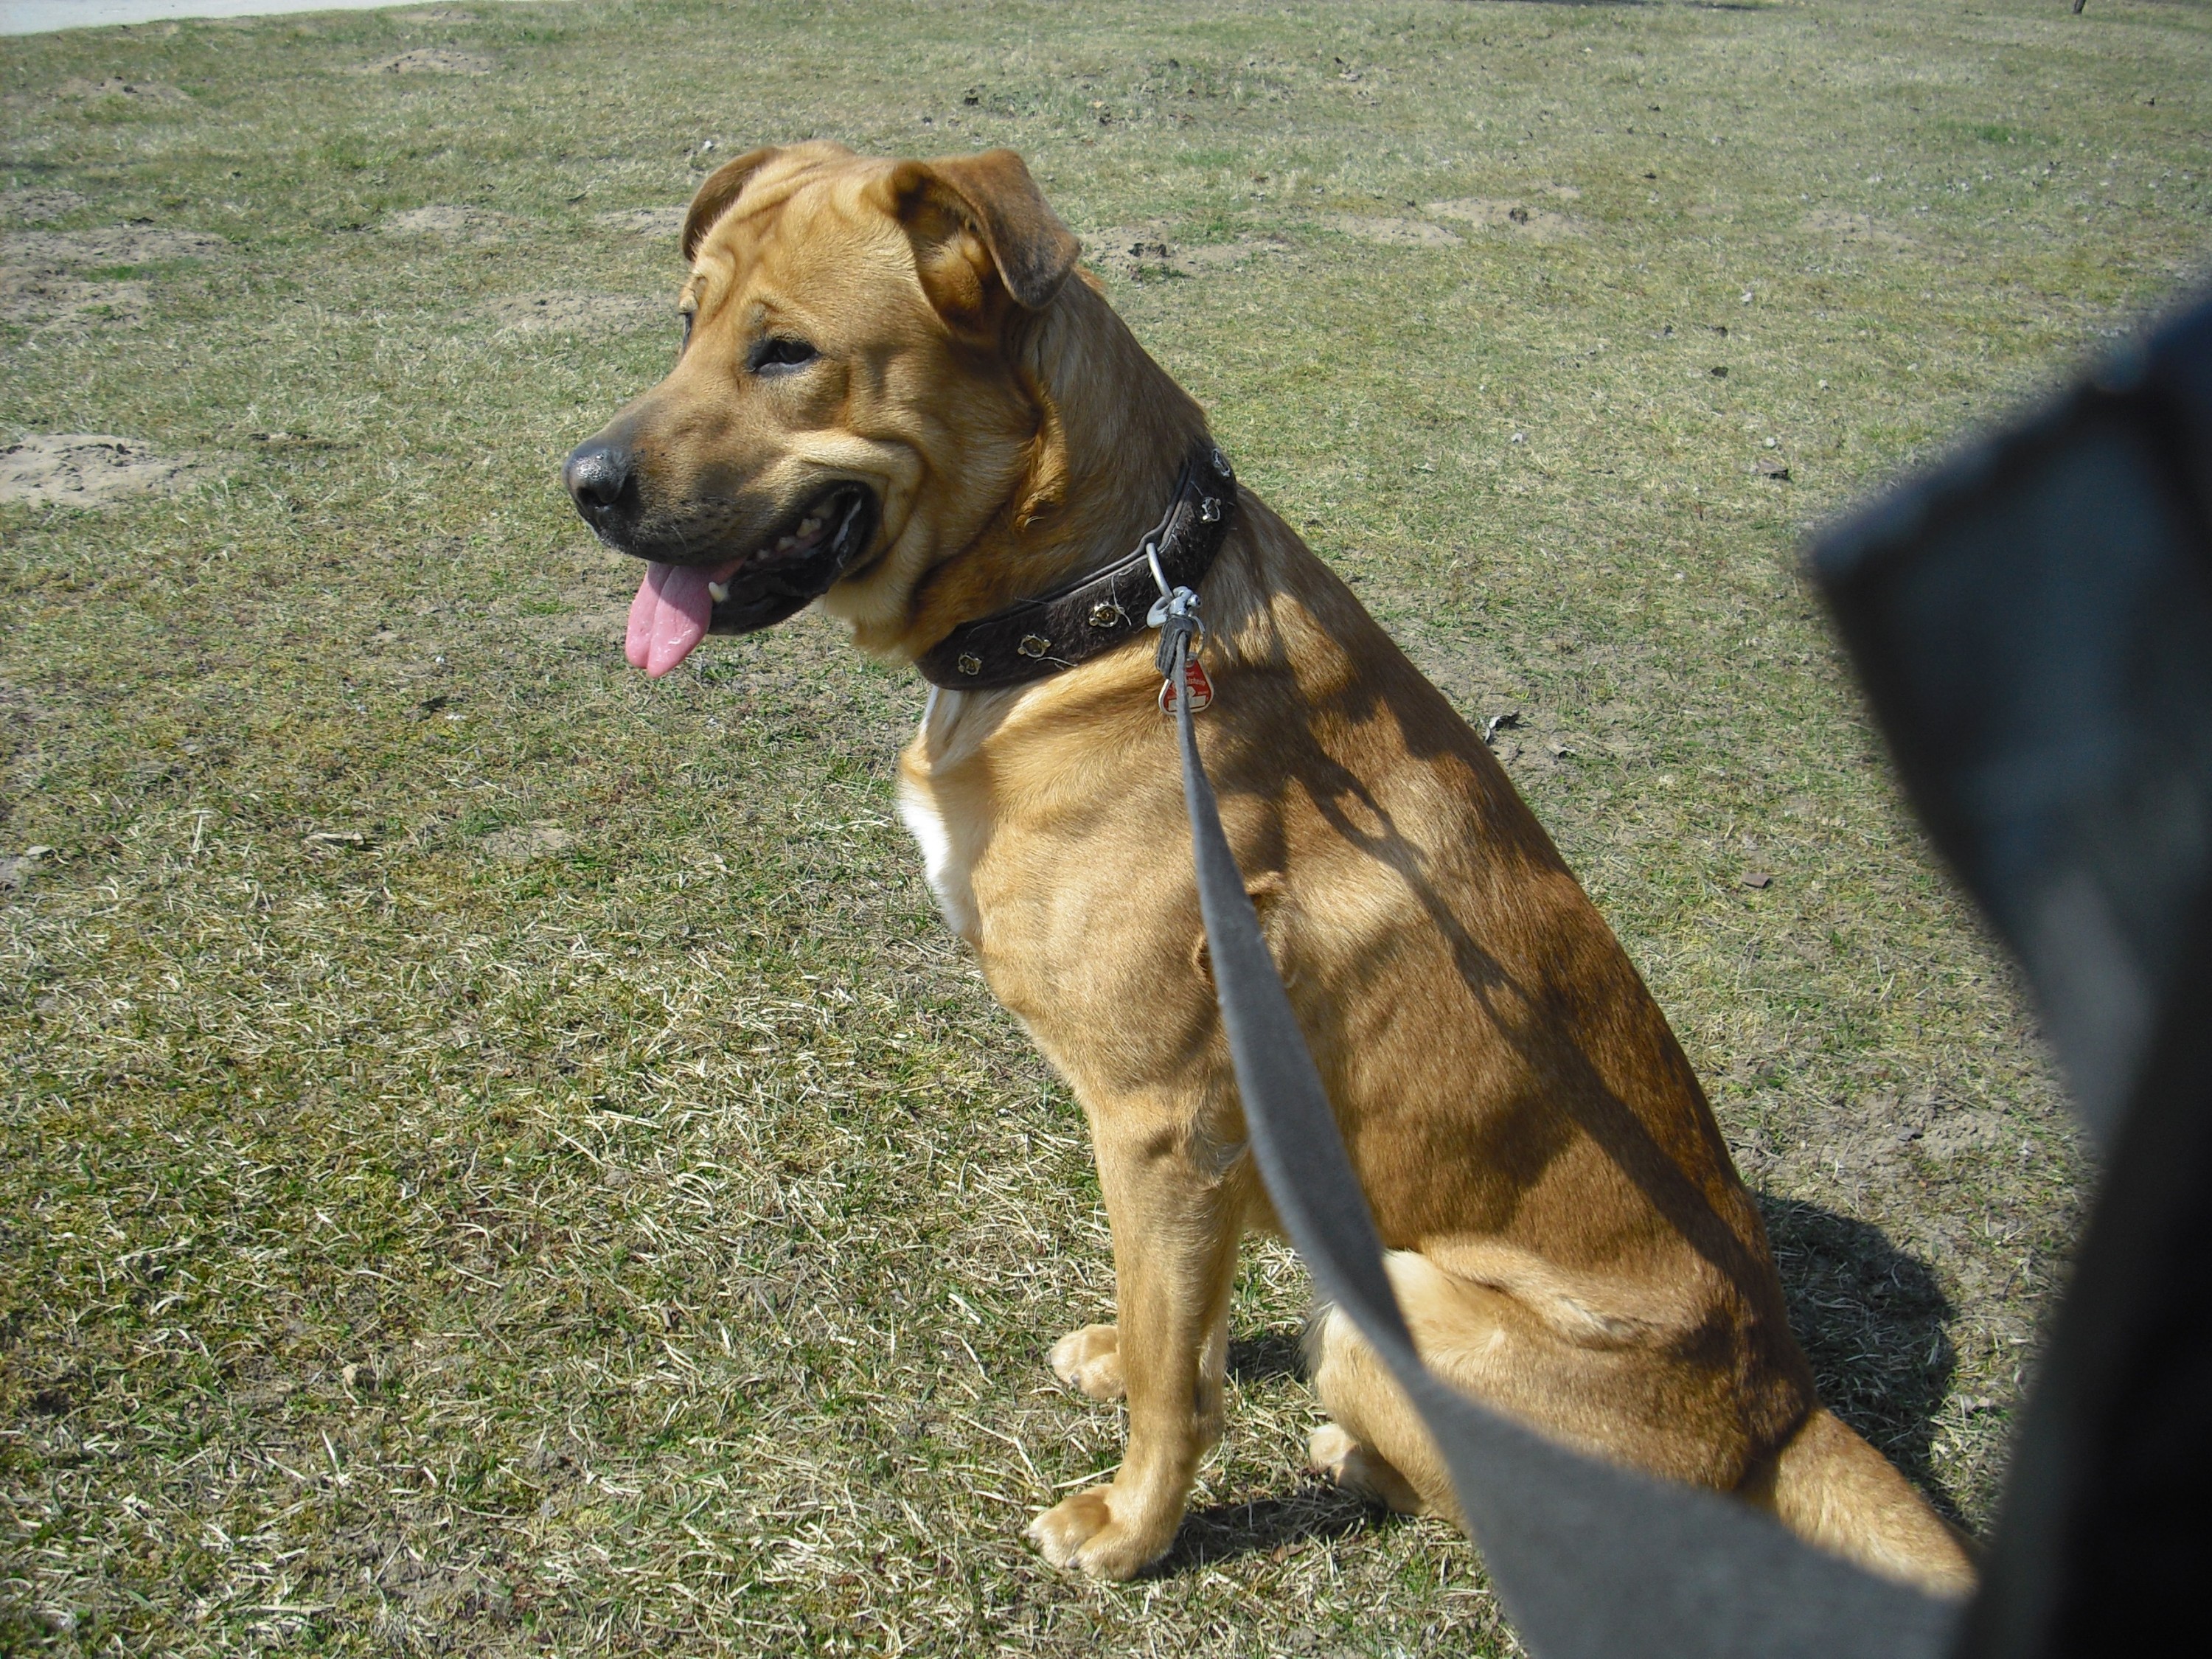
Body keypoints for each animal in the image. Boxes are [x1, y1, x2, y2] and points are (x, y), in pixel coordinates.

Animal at [562, 139, 1982, 1601]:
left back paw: (1356, 1457)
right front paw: (1120, 1358)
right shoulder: (1213, 1131)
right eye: (686, 324)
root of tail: (1787, 1408)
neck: (1109, 604)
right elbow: (1172, 1332)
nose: (585, 482)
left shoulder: (1158, 1120)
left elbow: (1172, 1378)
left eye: (787, 351)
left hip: (1396, 1307)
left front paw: (1133, 1527)